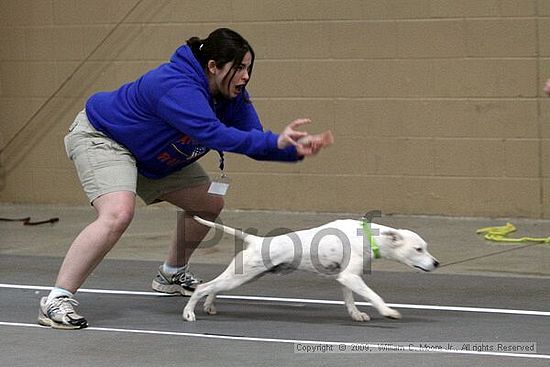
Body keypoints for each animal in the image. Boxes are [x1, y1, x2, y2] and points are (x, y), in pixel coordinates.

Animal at [184, 217, 440, 324]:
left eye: (426, 247)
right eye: (418, 249)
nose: (436, 263)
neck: (368, 237)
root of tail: (256, 240)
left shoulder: (347, 278)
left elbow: (350, 300)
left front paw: (356, 315)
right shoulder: (350, 277)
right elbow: (374, 296)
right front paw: (388, 312)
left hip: (244, 276)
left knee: (214, 287)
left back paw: (209, 306)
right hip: (242, 276)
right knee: (203, 287)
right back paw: (189, 313)